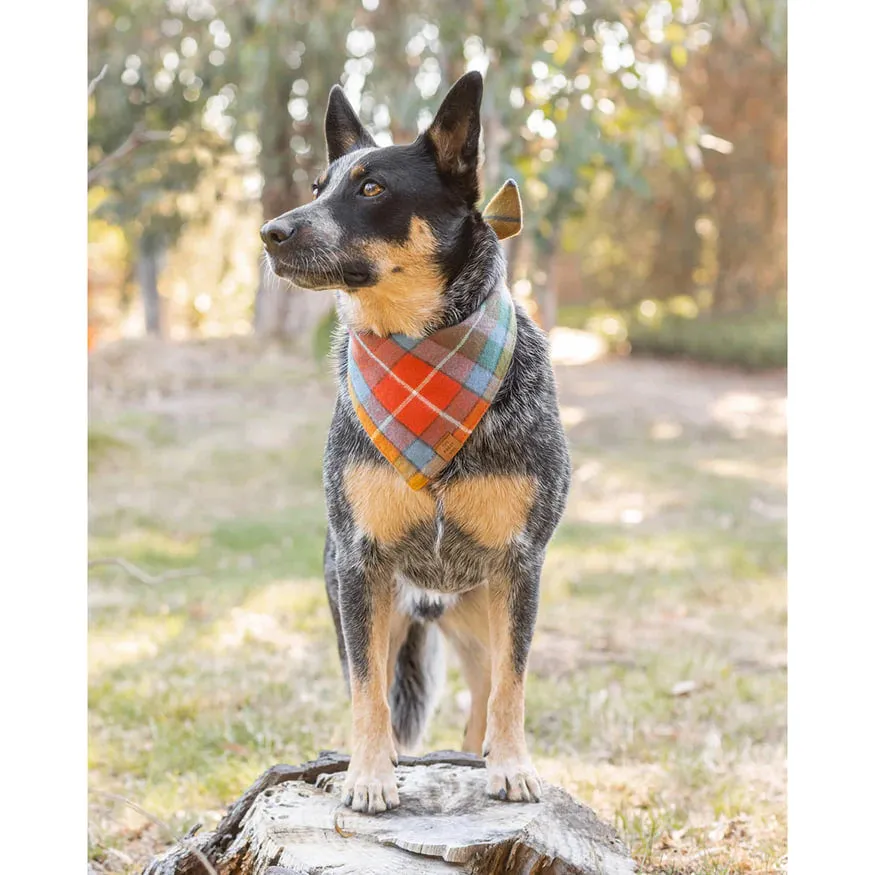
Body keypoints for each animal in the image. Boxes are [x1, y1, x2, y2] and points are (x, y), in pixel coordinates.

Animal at [260, 70, 572, 816]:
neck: (418, 354)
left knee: (484, 689)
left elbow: (513, 685)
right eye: (318, 185)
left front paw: (512, 765)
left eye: (372, 189)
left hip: (479, 613)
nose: (271, 231)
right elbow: (367, 690)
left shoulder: (522, 564)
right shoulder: (358, 565)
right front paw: (370, 775)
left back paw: (480, 754)